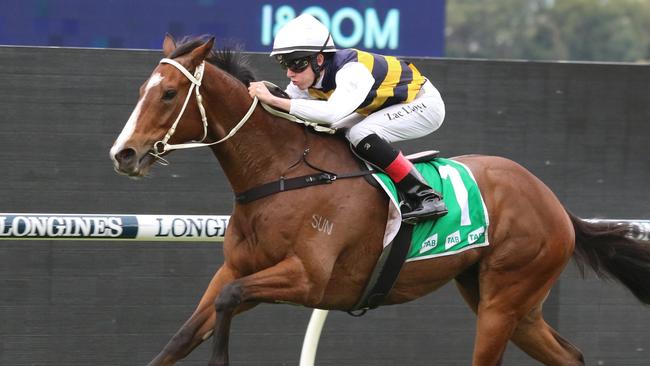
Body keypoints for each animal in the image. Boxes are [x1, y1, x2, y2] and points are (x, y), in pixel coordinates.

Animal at [109, 36, 644, 366]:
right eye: (140, 90)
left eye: (169, 93)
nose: (124, 153)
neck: (283, 174)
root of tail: (551, 199)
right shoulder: (237, 267)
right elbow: (184, 334)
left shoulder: (307, 277)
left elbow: (229, 299)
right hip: (511, 303)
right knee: (570, 355)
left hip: (504, 300)